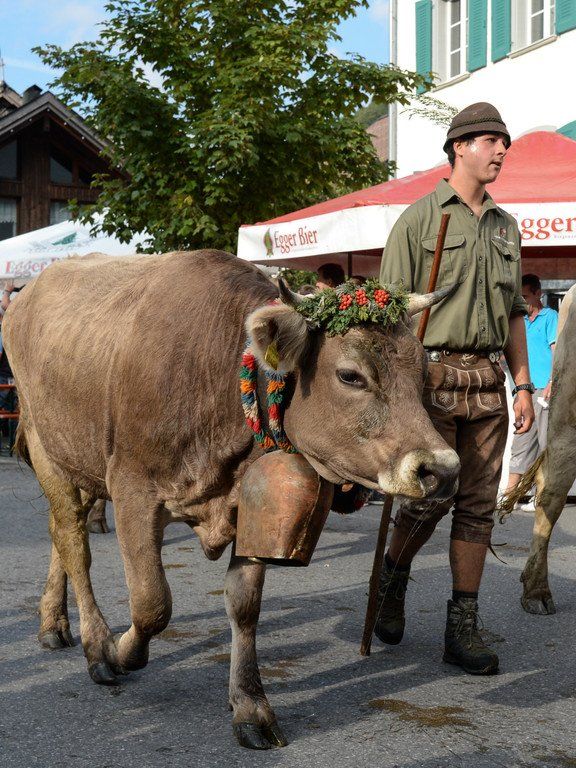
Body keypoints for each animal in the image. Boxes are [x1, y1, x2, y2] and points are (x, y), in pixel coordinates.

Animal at [4, 249, 460, 750]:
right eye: (350, 375)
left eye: (424, 372)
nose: (442, 469)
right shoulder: (131, 488)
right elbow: (152, 603)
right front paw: (120, 651)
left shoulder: (247, 504)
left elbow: (244, 606)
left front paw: (249, 706)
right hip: (46, 447)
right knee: (73, 541)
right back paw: (94, 645)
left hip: (79, 458)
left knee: (60, 534)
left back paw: (53, 623)